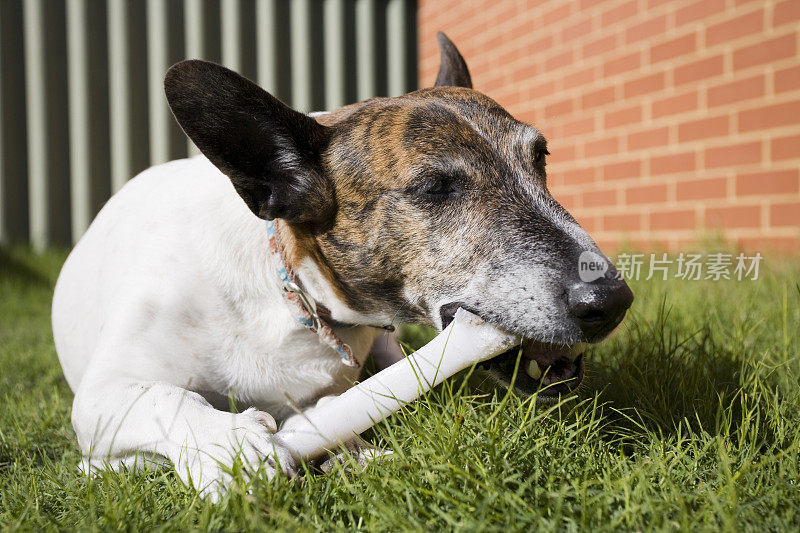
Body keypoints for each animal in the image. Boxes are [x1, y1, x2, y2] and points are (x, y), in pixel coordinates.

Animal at [53, 32, 636, 498]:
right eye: (435, 188)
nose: (611, 301)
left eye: (540, 158)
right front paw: (231, 445)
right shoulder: (102, 393)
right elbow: (168, 396)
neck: (292, 297)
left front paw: (351, 451)